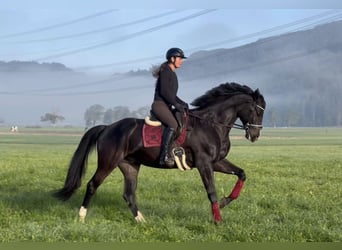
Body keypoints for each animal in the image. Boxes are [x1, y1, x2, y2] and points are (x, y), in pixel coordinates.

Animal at [54, 83, 268, 224]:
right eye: (258, 111)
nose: (255, 135)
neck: (211, 124)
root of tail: (108, 127)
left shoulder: (216, 161)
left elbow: (241, 174)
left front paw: (225, 202)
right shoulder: (204, 163)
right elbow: (211, 191)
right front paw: (218, 220)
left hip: (130, 165)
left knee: (129, 194)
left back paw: (142, 221)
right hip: (108, 162)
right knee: (92, 185)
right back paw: (82, 217)